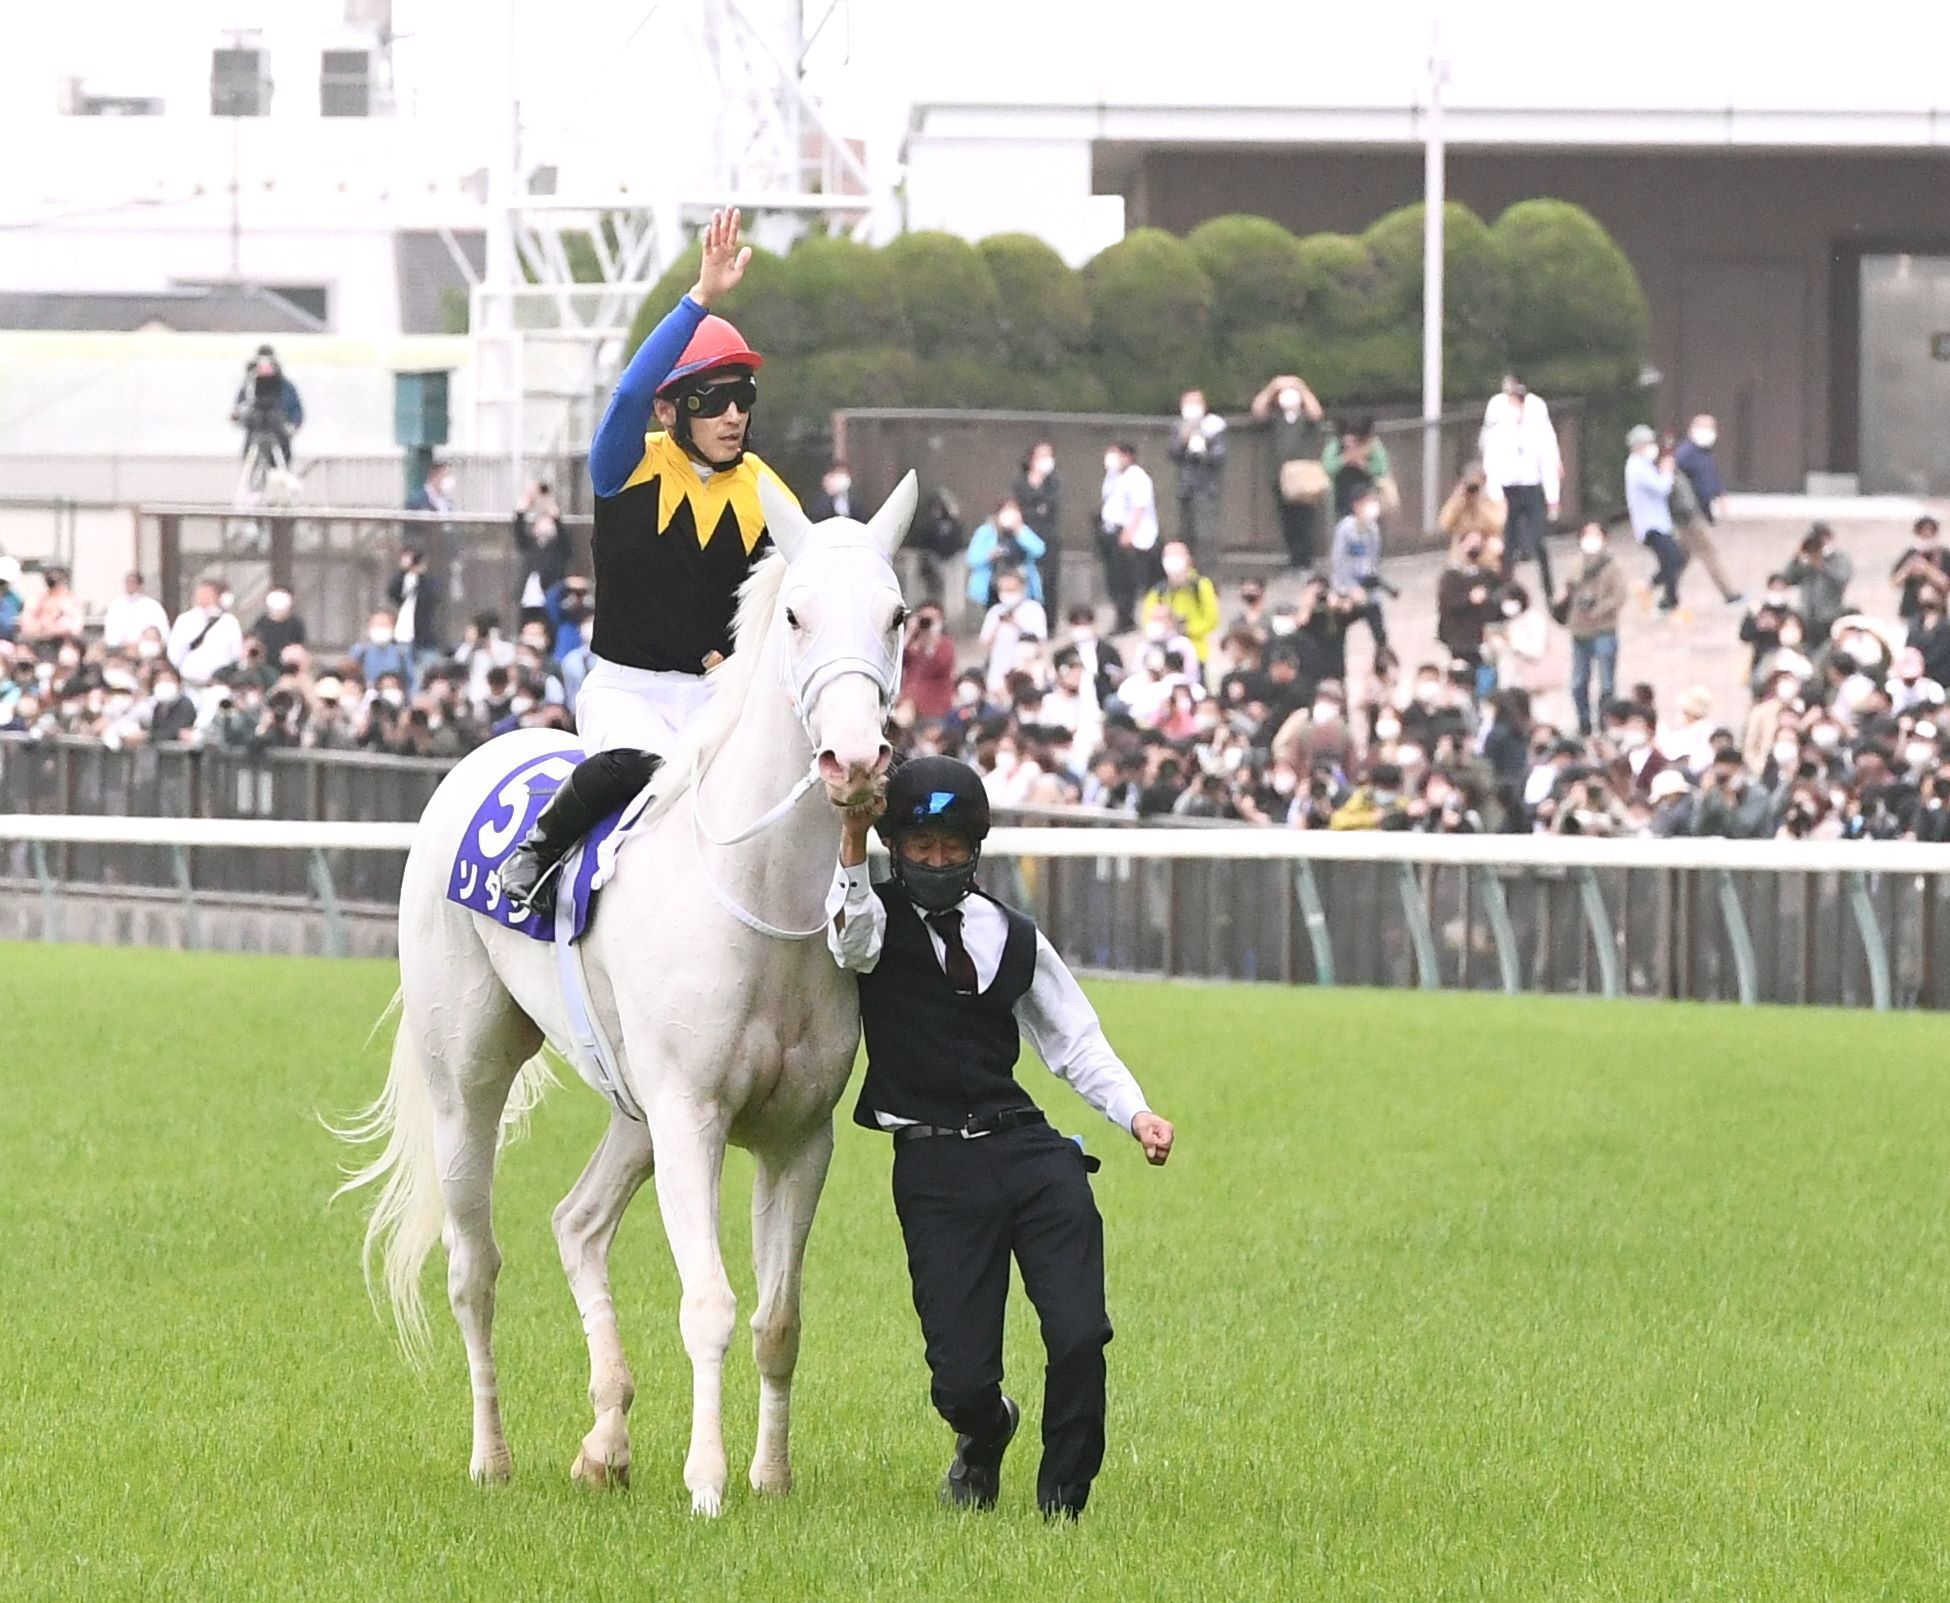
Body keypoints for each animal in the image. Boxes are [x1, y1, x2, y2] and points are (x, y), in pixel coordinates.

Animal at [335, 469, 912, 1513]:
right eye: (797, 614)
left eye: (898, 615)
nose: (854, 761)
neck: (756, 893)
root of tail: (480, 755)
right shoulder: (692, 1116)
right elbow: (711, 1302)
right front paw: (708, 1483)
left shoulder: (798, 1133)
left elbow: (778, 1317)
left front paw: (770, 1476)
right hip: (467, 1076)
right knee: (474, 1266)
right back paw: (493, 1456)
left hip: (631, 1105)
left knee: (576, 1222)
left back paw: (605, 1439)